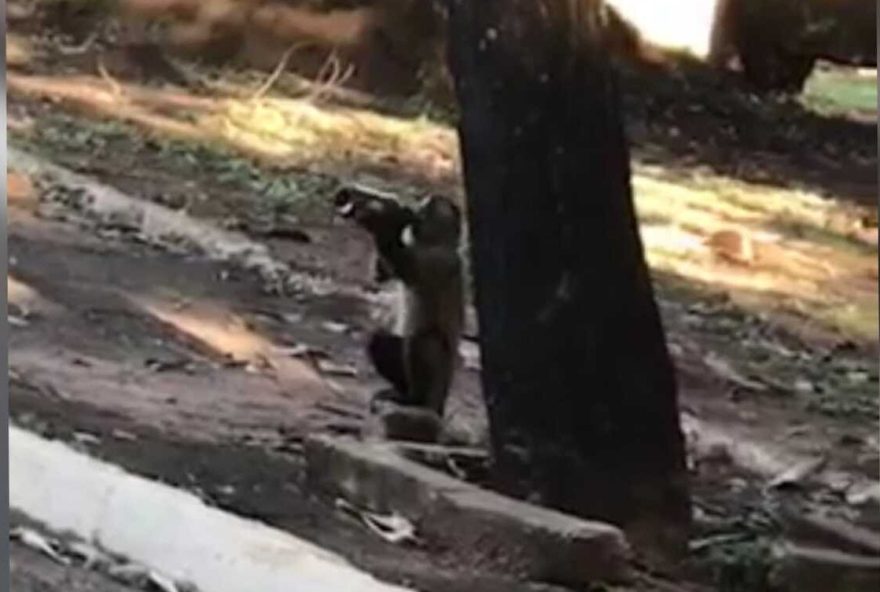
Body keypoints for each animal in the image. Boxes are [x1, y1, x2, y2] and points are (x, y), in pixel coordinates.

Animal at [334, 185, 464, 426]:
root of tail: (440, 403)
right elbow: (383, 273)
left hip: (440, 380)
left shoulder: (440, 260)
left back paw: (415, 399)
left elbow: (408, 267)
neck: (435, 241)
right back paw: (399, 392)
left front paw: (382, 217)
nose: (412, 212)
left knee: (423, 342)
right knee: (381, 340)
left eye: (422, 213)